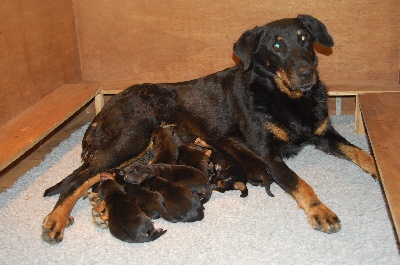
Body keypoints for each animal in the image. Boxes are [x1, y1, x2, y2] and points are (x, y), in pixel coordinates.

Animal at [43, 13, 378, 242]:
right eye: (277, 45)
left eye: (305, 39)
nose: (307, 74)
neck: (285, 97)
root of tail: (104, 109)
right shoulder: (268, 155)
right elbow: (300, 182)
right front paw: (320, 211)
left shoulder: (324, 133)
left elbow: (360, 152)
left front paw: (379, 169)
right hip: (131, 138)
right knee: (77, 180)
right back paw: (56, 219)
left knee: (99, 176)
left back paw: (100, 208)